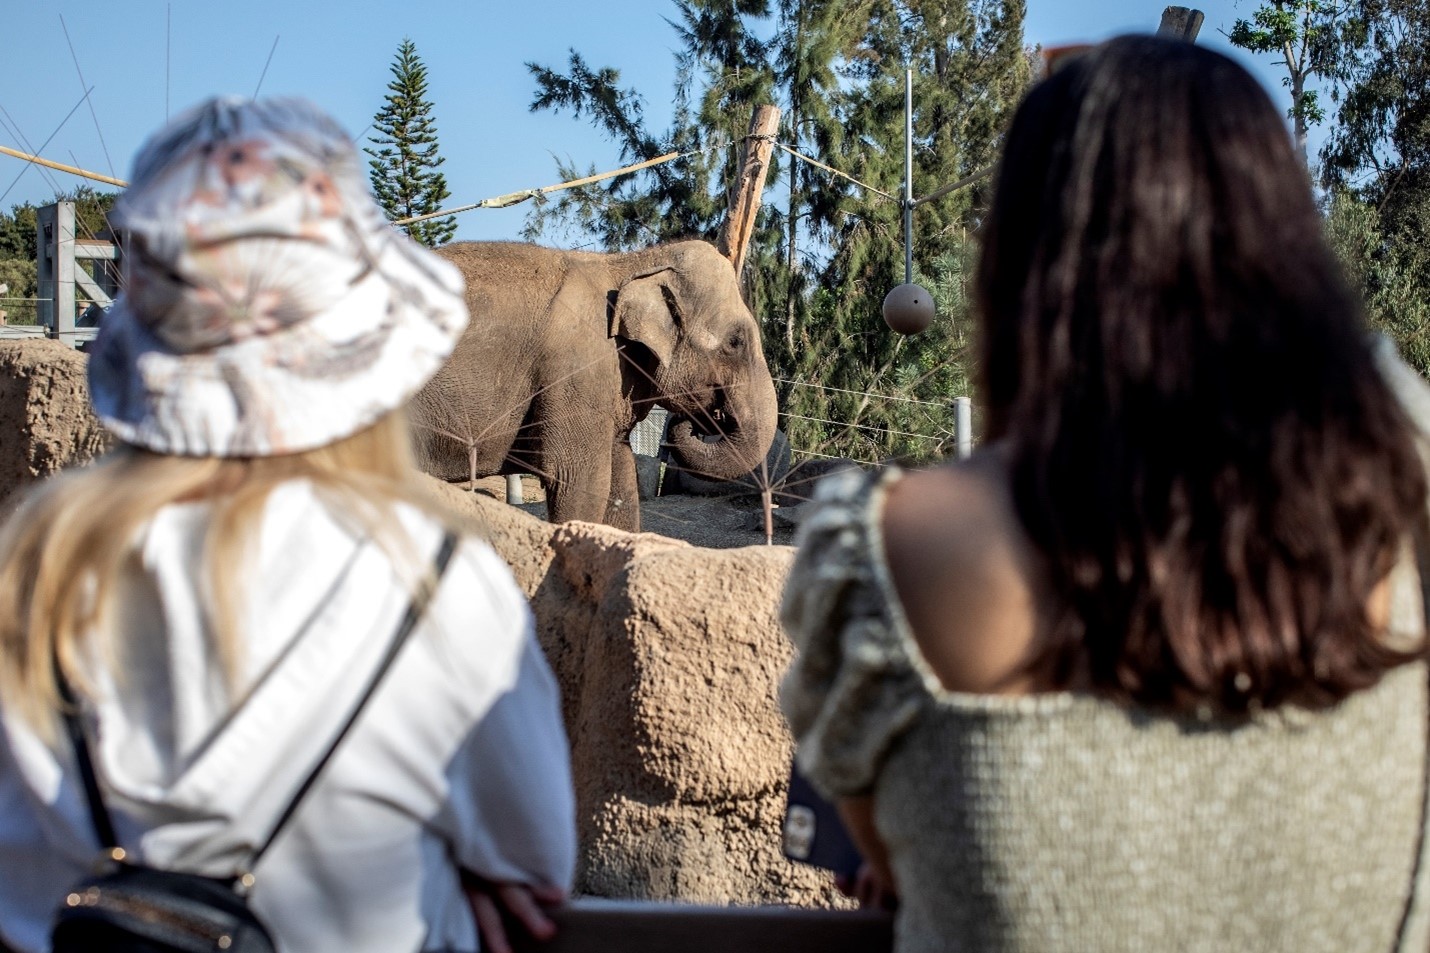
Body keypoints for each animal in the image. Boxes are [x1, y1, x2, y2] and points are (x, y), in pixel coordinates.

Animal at [410, 239, 779, 532]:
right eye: (735, 342)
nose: (698, 419)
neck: (630, 263)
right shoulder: (577, 371)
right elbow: (580, 479)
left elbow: (622, 479)